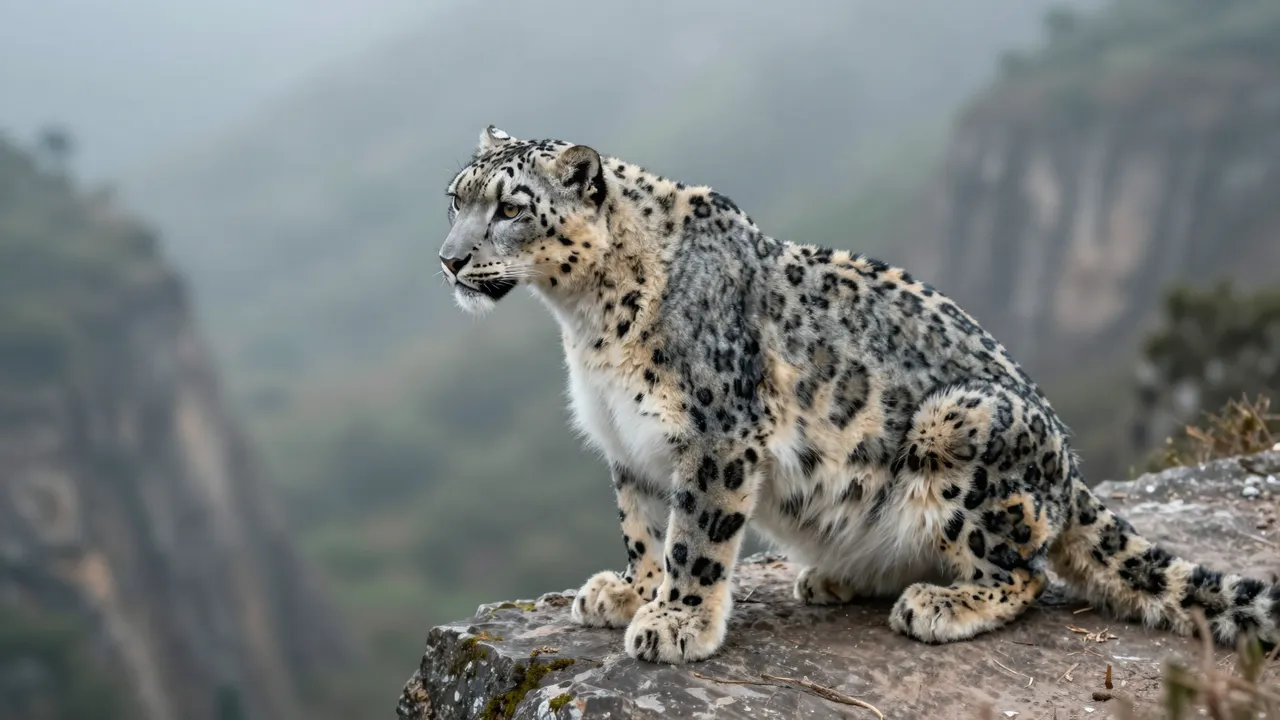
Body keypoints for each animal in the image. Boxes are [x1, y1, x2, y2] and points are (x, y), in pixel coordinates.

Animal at [437, 125, 1280, 664]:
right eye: (455, 198)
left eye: (510, 208)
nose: (449, 260)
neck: (586, 324)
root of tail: (1068, 472)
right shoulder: (629, 444)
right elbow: (642, 529)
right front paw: (629, 592)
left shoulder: (716, 436)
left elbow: (695, 539)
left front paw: (674, 622)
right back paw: (836, 576)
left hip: (959, 425)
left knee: (1025, 574)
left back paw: (939, 605)